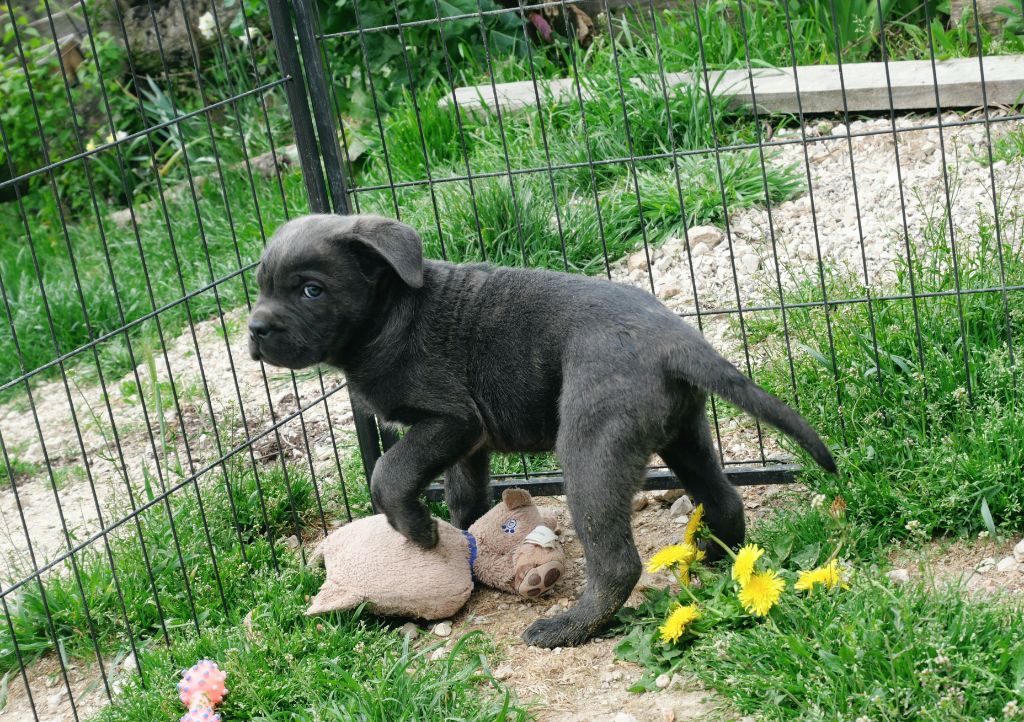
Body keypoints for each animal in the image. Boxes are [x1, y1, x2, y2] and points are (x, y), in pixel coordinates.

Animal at [251, 210, 835, 643]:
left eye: (311, 290)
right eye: (260, 287)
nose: (255, 328)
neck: (392, 311)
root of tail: (679, 342)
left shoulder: (449, 420)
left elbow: (389, 473)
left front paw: (418, 532)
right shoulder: (468, 445)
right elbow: (467, 498)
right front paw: (469, 546)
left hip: (591, 450)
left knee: (617, 562)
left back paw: (568, 628)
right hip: (683, 434)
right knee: (723, 497)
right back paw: (716, 557)